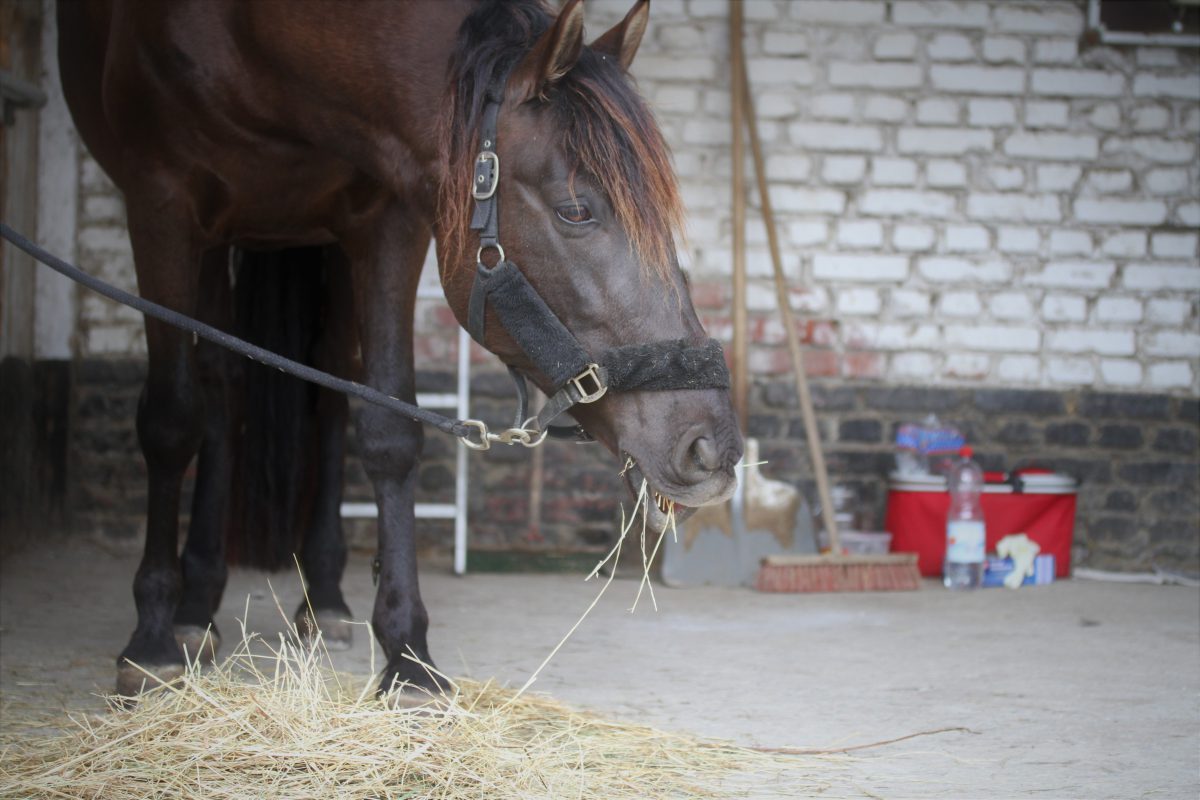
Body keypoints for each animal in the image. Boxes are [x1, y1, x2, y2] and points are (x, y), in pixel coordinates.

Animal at [60, 0, 744, 695]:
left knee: (326, 387)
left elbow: (389, 431)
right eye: (576, 210)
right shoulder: (160, 204)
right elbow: (171, 422)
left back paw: (321, 599)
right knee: (220, 385)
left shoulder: (383, 221)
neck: (253, 41)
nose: (711, 447)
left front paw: (408, 655)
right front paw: (150, 638)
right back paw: (193, 609)